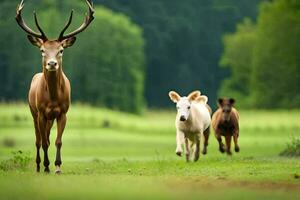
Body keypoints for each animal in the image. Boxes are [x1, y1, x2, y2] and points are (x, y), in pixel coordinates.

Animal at [15, 0, 94, 173]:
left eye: (61, 50)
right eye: (42, 50)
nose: (52, 64)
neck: (52, 98)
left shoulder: (63, 112)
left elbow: (58, 141)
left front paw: (57, 166)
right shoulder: (41, 113)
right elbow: (44, 142)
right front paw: (46, 166)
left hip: (49, 118)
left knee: (48, 137)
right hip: (33, 112)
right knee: (38, 140)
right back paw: (38, 166)